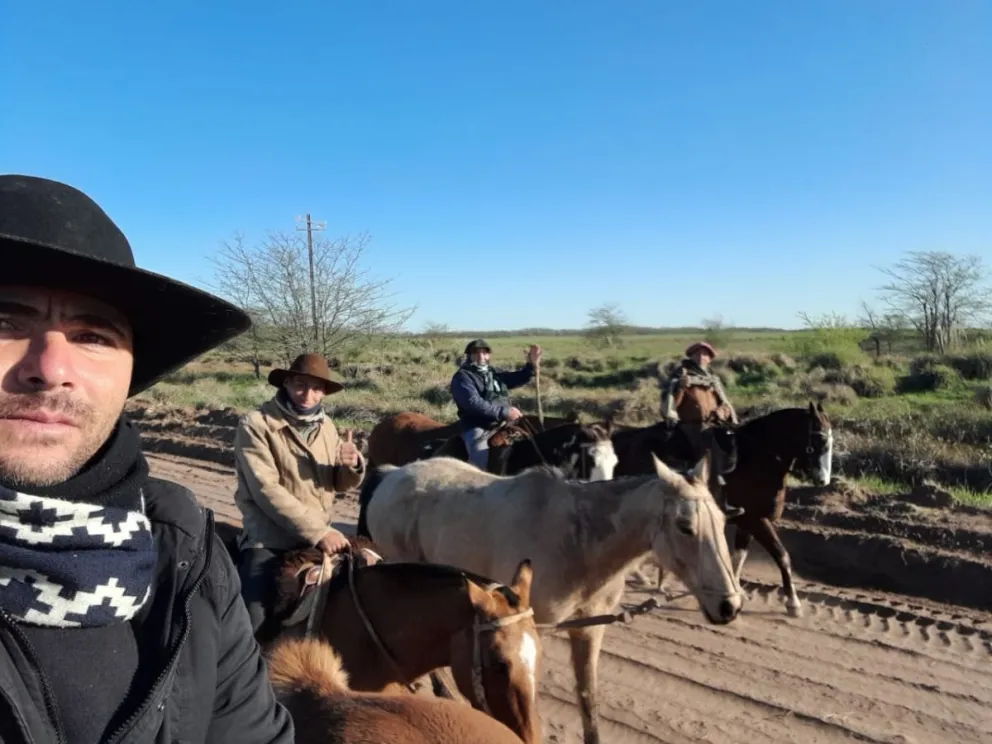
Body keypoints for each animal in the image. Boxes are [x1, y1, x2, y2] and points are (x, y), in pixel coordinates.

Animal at [357, 454, 744, 744]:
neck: (577, 542)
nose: (729, 605)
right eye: (684, 526)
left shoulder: (588, 629)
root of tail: (391, 475)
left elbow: (588, 701)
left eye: (722, 519)